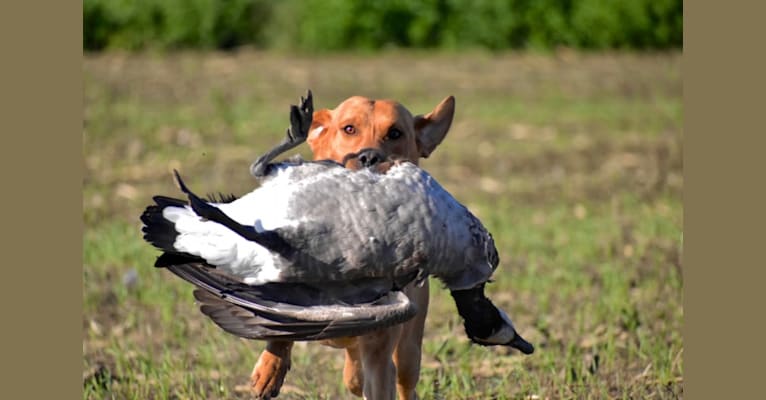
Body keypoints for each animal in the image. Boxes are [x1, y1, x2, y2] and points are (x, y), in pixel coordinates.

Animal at [252, 95, 456, 398]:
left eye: (395, 133)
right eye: (349, 129)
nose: (369, 157)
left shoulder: (380, 354)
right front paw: (270, 370)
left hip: (409, 349)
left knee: (402, 380)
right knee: (354, 375)